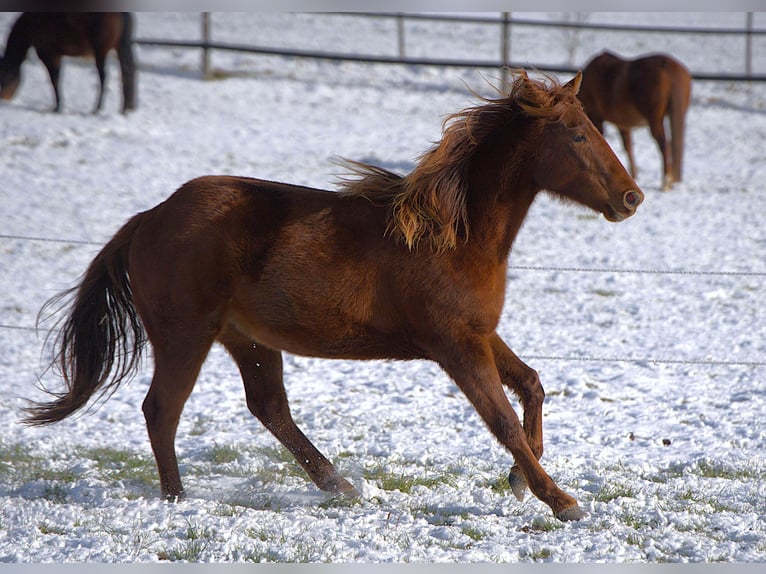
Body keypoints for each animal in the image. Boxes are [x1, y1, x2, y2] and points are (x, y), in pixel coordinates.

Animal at [0, 12, 136, 113]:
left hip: (101, 52)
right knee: (126, 73)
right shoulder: (57, 56)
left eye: (6, 76)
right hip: (118, 49)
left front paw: (57, 107)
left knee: (103, 77)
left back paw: (96, 109)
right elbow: (57, 79)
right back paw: (124, 109)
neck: (31, 25)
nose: (2, 98)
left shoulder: (47, 54)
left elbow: (54, 80)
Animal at [24, 71, 644, 520]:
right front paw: (560, 500)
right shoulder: (456, 346)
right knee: (162, 409)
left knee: (268, 408)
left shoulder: (480, 334)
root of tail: (148, 218)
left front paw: (519, 479)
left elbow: (532, 385)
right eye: (578, 134)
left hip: (246, 339)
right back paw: (178, 499)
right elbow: (504, 420)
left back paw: (339, 485)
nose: (631, 197)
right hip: (186, 336)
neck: (455, 234)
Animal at [580, 51, 692, 191]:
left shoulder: (596, 118)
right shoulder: (622, 124)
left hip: (655, 121)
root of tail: (670, 69)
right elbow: (628, 146)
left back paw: (666, 182)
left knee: (664, 145)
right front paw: (632, 175)